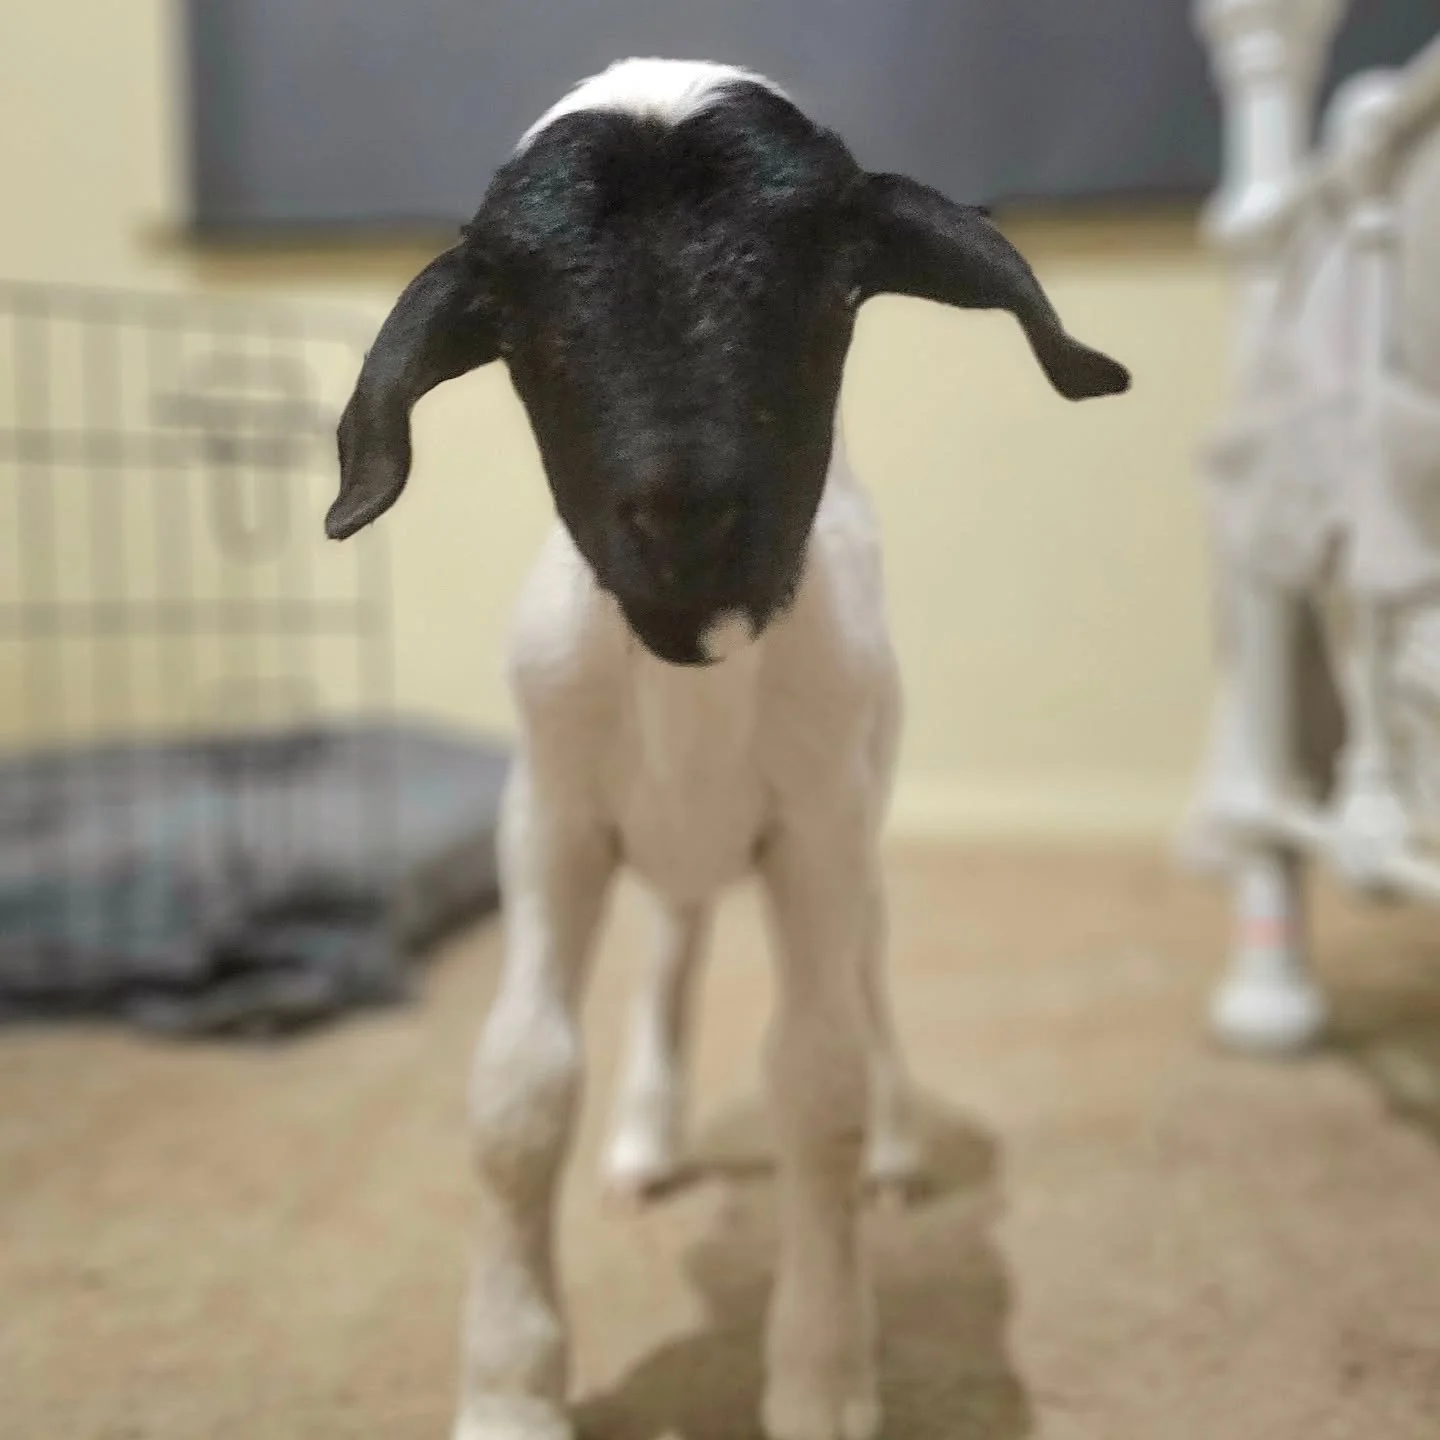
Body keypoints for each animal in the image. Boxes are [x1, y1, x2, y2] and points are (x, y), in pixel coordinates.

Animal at [326, 57, 1130, 1440]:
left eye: (831, 285)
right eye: (525, 318)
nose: (686, 519)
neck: (690, 666)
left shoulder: (816, 829)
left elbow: (820, 1085)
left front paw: (821, 1375)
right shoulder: (550, 822)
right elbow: (520, 1091)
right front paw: (510, 1386)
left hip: (859, 845)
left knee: (868, 991)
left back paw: (903, 1155)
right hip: (671, 858)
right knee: (674, 956)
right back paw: (648, 1143)